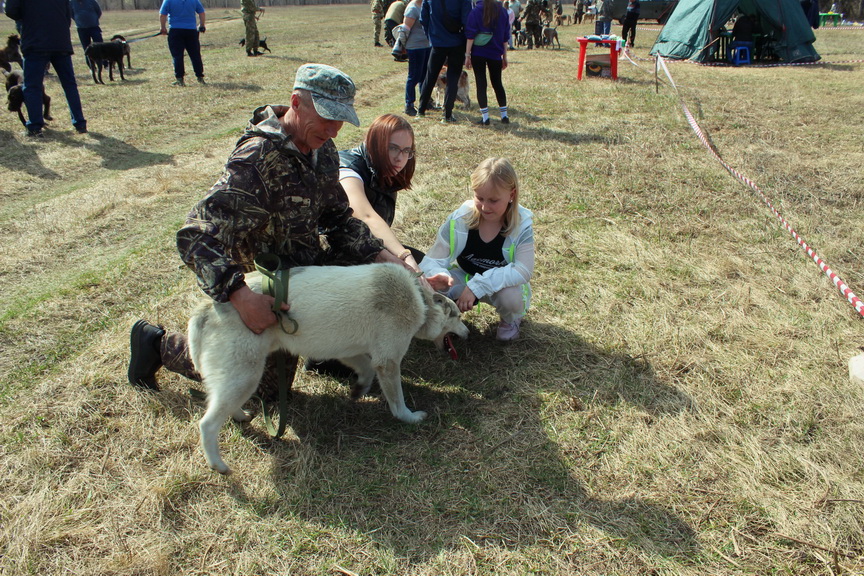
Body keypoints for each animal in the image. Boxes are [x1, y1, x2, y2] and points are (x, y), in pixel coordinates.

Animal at [189, 263, 470, 474]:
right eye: (457, 316)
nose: (467, 333)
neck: (419, 300)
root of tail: (206, 308)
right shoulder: (388, 362)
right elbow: (397, 402)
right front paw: (409, 418)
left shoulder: (352, 353)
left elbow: (366, 370)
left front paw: (359, 390)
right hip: (245, 377)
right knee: (207, 424)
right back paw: (218, 465)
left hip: (238, 380)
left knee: (222, 405)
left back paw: (240, 416)